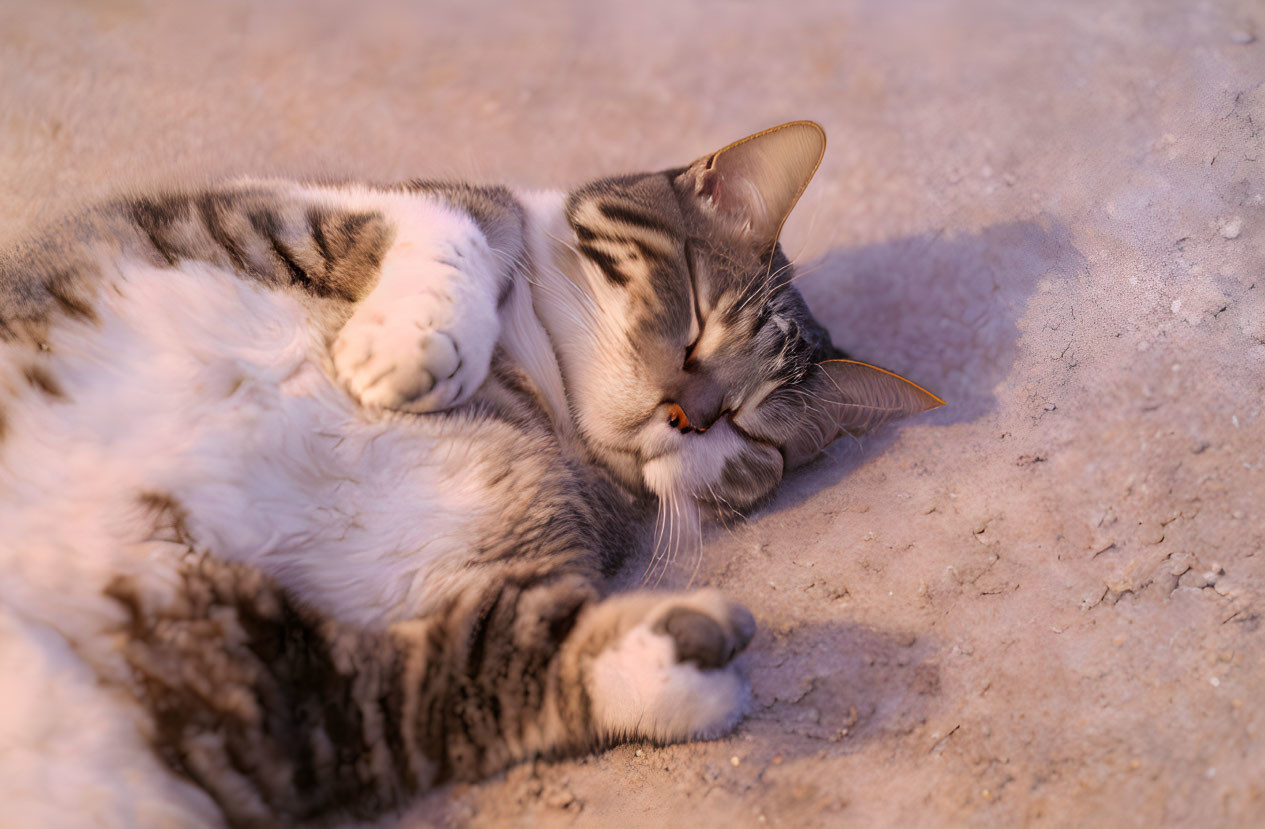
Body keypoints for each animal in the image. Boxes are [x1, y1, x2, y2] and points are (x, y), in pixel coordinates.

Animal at [0, 123, 941, 829]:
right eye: (698, 322)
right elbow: (443, 220)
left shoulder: (314, 681)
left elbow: (469, 671)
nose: (690, 412)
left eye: (753, 428)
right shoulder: (281, 201)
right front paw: (404, 347)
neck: (535, 384)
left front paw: (674, 660)